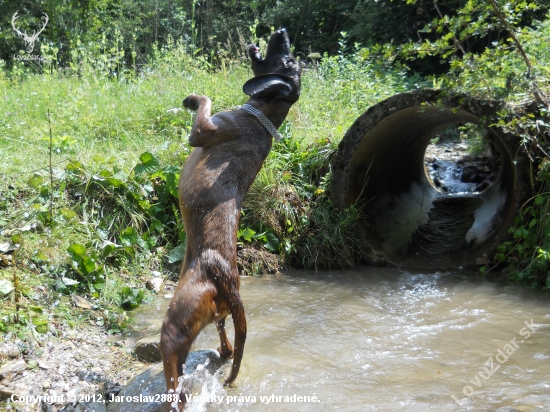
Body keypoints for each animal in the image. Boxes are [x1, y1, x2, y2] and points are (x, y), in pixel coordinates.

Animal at [160, 28, 302, 408]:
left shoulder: (202, 130)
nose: (282, 30)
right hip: (215, 315)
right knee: (225, 344)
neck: (261, 118)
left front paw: (191, 98)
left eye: (288, 61)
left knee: (175, 376)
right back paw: (223, 352)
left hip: (176, 323)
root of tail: (228, 284)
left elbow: (205, 101)